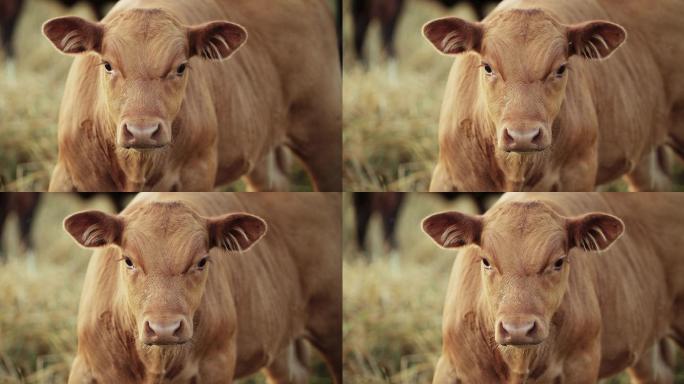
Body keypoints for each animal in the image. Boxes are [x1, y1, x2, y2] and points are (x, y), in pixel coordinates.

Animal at [42, 0, 342, 192]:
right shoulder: (67, 174)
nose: (142, 131)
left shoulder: (198, 172)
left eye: (181, 67)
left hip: (323, 130)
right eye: (107, 65)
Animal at [62, 194, 342, 384]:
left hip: (331, 327)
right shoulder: (85, 366)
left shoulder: (217, 365)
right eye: (129, 260)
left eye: (201, 261)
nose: (164, 329)